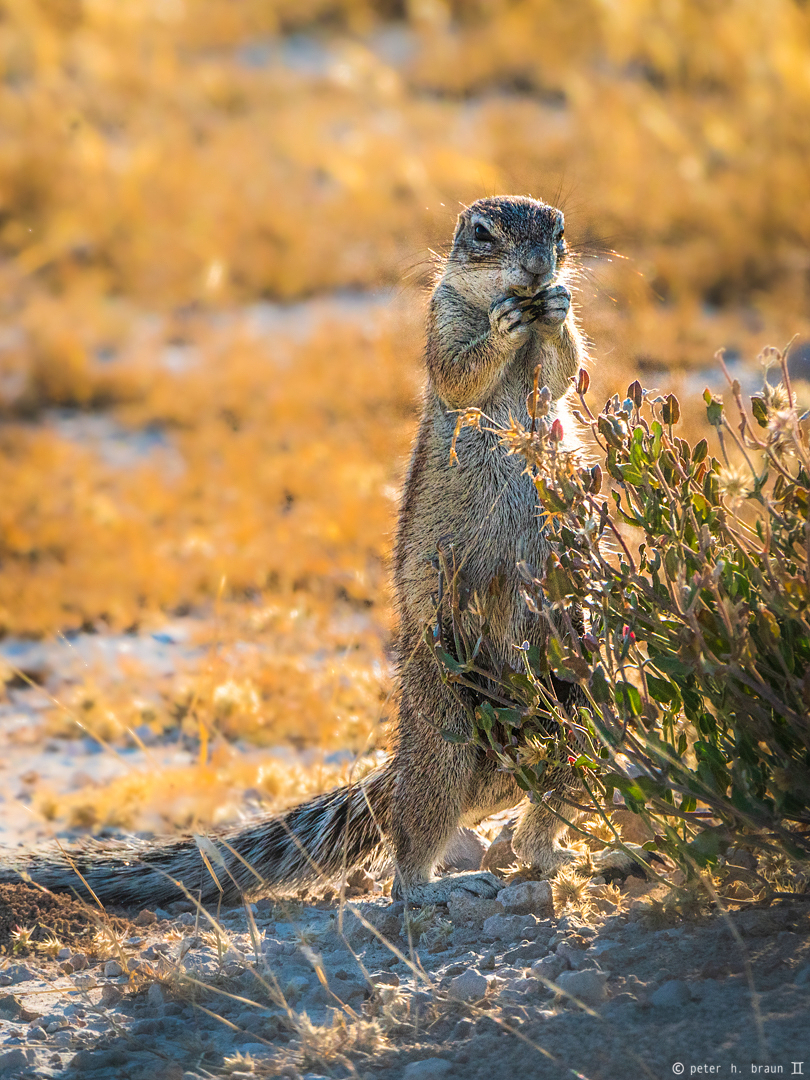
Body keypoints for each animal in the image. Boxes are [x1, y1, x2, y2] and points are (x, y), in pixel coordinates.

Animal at [3, 198, 643, 907]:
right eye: (483, 234)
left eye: (558, 231)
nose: (536, 269)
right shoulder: (442, 323)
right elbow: (459, 371)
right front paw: (502, 325)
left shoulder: (551, 365)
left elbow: (560, 366)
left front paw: (557, 305)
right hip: (444, 737)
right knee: (413, 836)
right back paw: (430, 889)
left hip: (588, 716)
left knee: (538, 814)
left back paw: (572, 857)